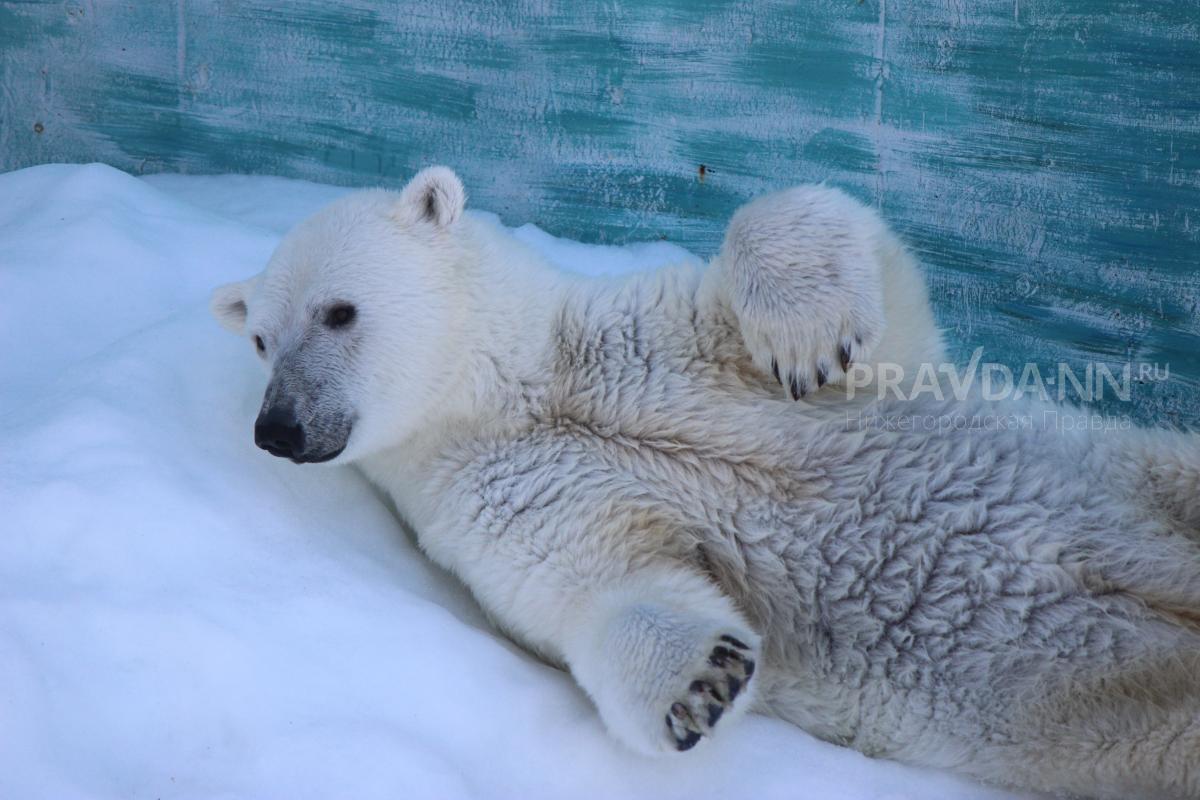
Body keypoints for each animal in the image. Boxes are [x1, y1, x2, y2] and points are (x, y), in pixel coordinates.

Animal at [211, 165, 1200, 796]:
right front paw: (702, 684)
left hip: (1148, 471)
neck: (520, 389)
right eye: (258, 339)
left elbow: (849, 261)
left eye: (339, 311)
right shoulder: (482, 493)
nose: (276, 429)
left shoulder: (649, 334)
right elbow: (597, 579)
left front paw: (808, 338)